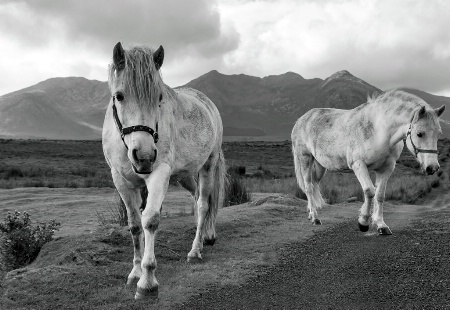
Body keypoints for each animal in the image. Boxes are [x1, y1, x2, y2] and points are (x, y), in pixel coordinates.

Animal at [103, 42, 227, 300]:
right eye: (119, 96)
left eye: (159, 97)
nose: (144, 156)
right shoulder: (121, 180)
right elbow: (134, 224)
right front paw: (135, 272)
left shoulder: (159, 174)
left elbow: (150, 220)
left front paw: (148, 281)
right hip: (184, 176)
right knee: (197, 199)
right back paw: (204, 237)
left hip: (208, 165)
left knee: (204, 204)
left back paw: (195, 250)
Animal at [292, 89, 442, 235]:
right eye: (419, 134)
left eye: (438, 134)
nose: (432, 167)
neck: (379, 130)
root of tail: (301, 120)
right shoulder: (358, 164)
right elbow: (369, 191)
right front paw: (363, 222)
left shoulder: (386, 168)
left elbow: (380, 195)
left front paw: (381, 225)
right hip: (305, 158)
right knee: (308, 186)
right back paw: (315, 217)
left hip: (320, 166)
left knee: (315, 185)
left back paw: (312, 213)